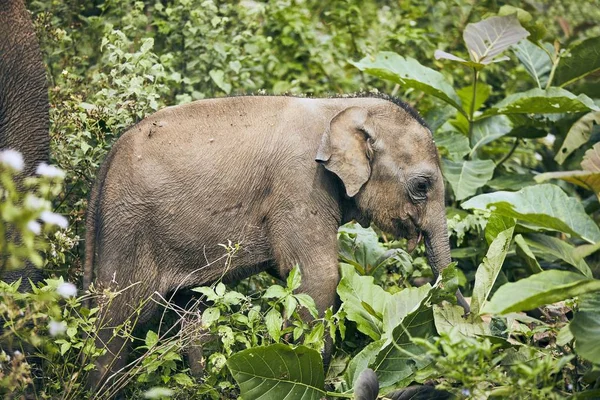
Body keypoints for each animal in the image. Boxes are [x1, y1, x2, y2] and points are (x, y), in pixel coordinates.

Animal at [85, 94, 468, 390]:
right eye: (421, 186)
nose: (467, 318)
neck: (341, 106)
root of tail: (105, 164)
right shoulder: (299, 184)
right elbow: (319, 277)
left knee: (191, 313)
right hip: (129, 226)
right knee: (117, 320)